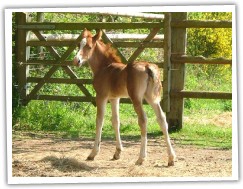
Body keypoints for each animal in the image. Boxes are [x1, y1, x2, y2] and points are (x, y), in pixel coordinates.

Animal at [73, 28, 176, 165]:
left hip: (136, 98)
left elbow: (99, 121)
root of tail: (148, 67)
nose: (76, 61)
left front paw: (93, 153)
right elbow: (115, 121)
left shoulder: (101, 96)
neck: (104, 67)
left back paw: (141, 158)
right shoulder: (114, 98)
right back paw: (171, 158)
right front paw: (117, 152)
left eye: (89, 47)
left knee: (143, 120)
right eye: (79, 45)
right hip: (152, 98)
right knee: (162, 119)